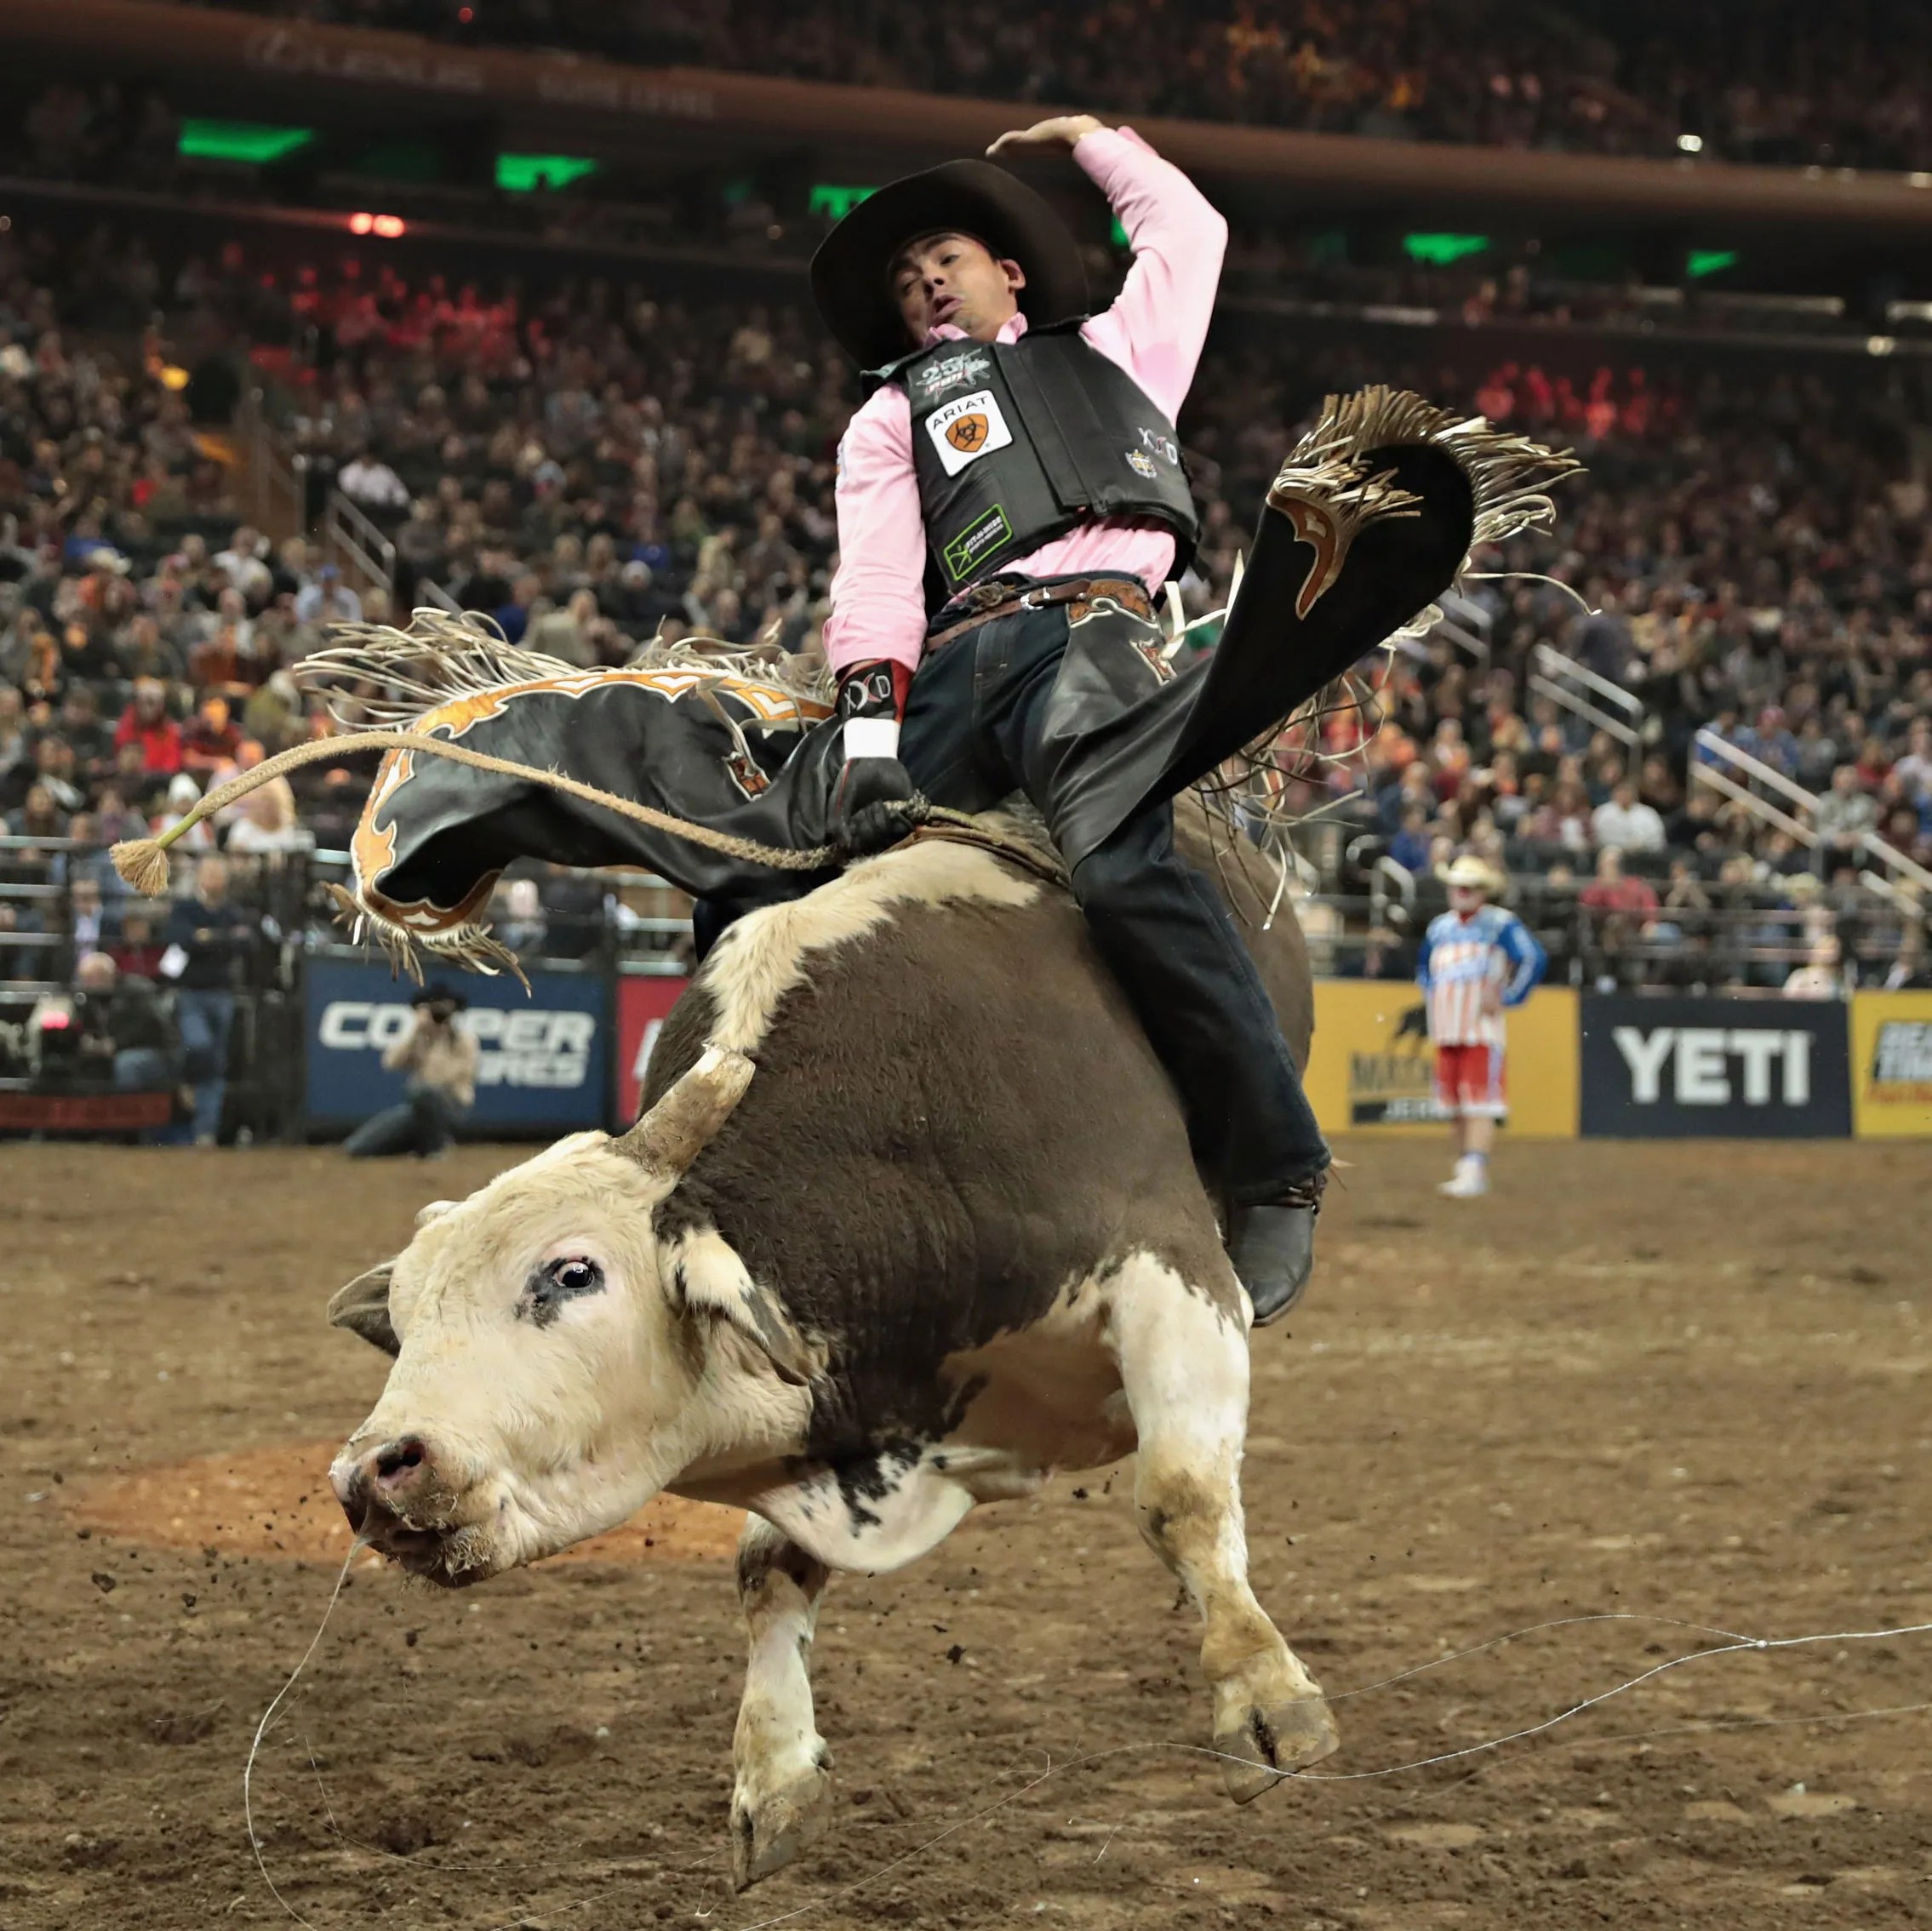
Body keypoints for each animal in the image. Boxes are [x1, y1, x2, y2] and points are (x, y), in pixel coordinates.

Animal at [324, 819, 1336, 1884]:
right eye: (403, 1318)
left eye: (571, 1272)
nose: (376, 1471)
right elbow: (765, 1570)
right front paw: (774, 1779)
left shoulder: (1171, 1276)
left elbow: (1179, 1496)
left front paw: (1265, 1703)